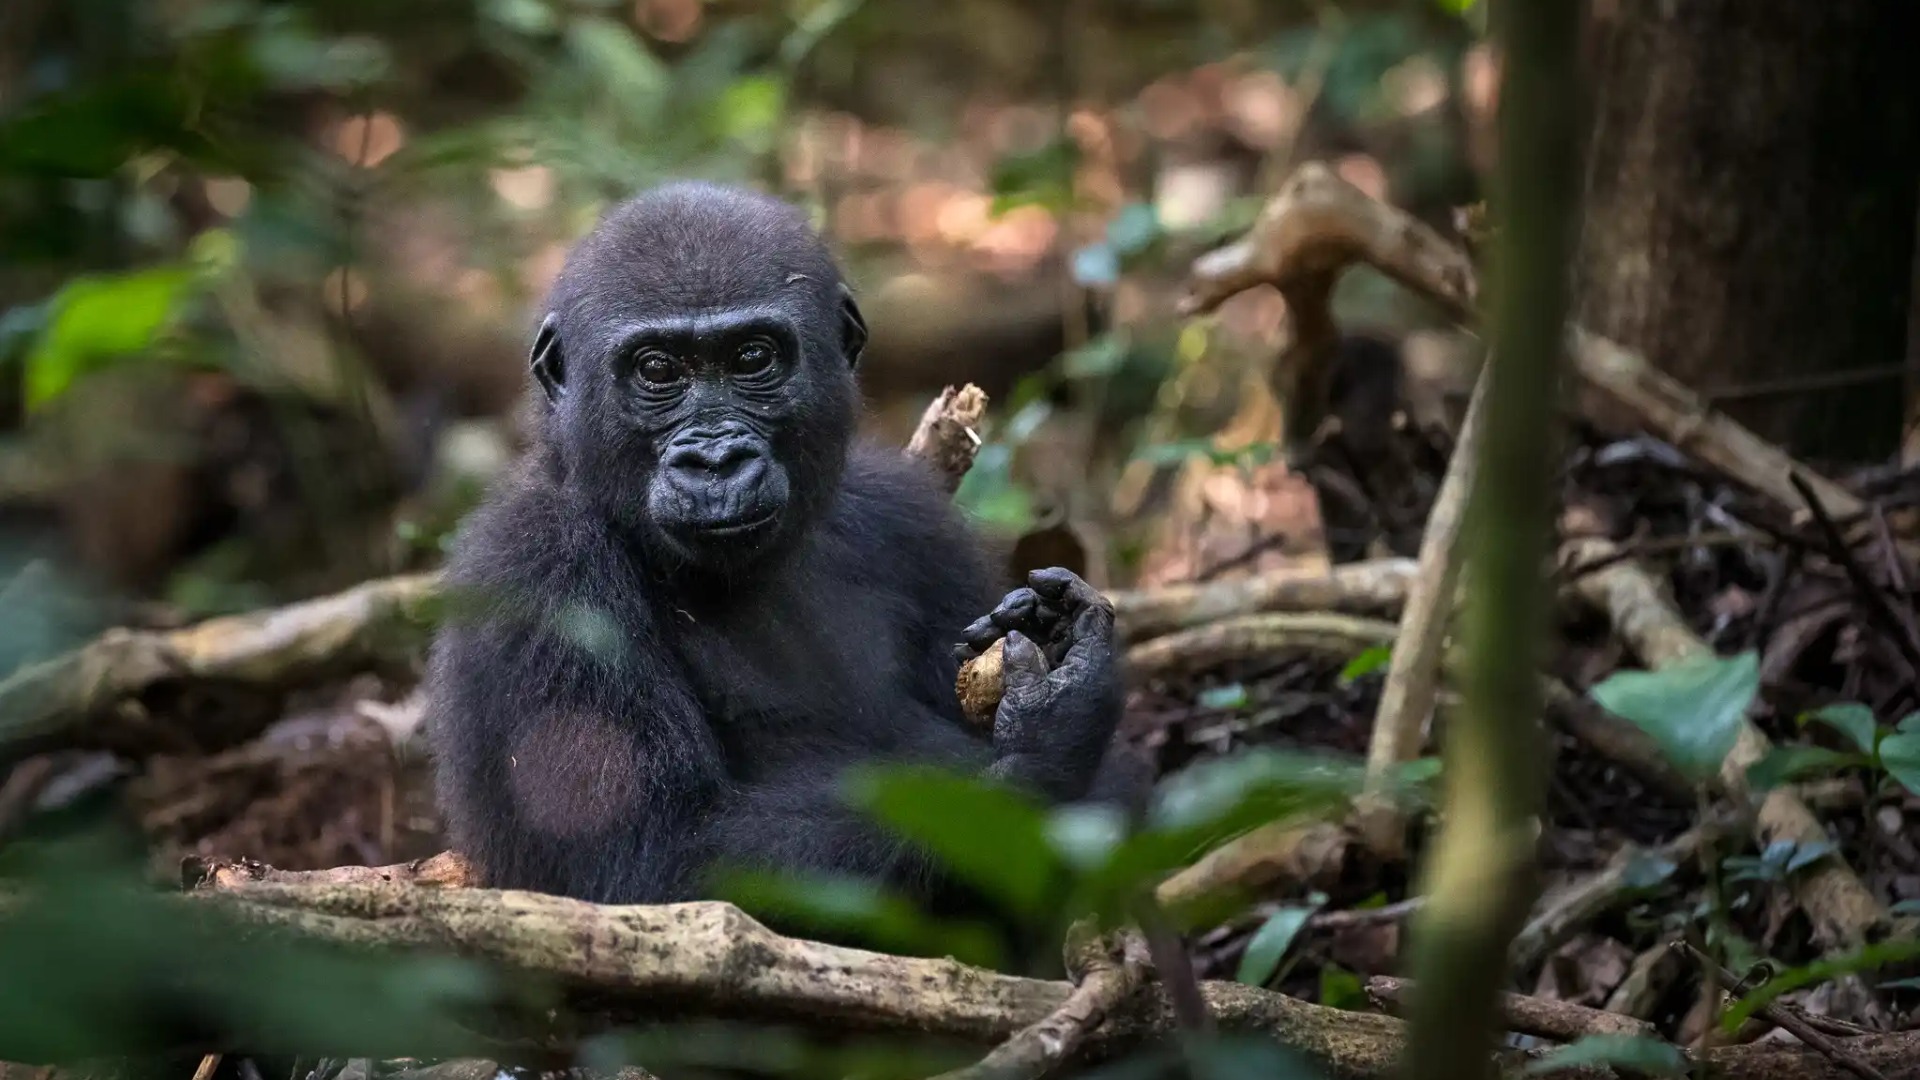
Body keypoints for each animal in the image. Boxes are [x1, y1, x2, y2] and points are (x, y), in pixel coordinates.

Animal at [422, 181, 1141, 918]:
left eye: (752, 358)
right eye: (657, 369)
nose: (716, 461)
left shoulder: (915, 520)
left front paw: (1057, 639)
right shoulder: (532, 568)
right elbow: (647, 865)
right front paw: (1048, 737)